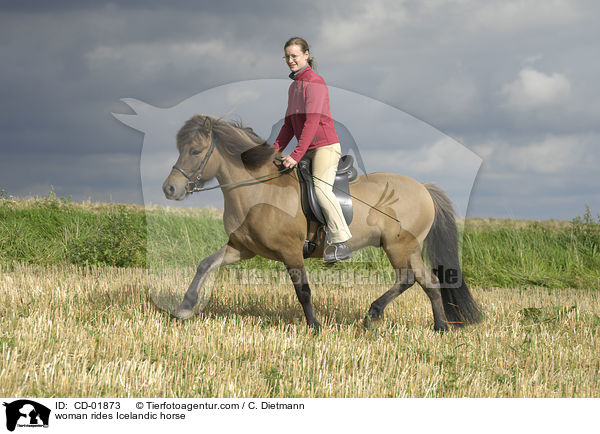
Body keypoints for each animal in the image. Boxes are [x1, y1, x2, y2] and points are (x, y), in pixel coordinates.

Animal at [162, 113, 480, 330]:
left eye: (195, 151)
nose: (170, 189)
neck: (260, 189)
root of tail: (423, 188)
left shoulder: (290, 251)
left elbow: (303, 290)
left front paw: (314, 326)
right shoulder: (242, 248)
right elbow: (205, 264)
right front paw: (184, 308)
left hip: (398, 247)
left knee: (408, 279)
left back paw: (373, 313)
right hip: (410, 249)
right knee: (430, 282)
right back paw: (440, 327)